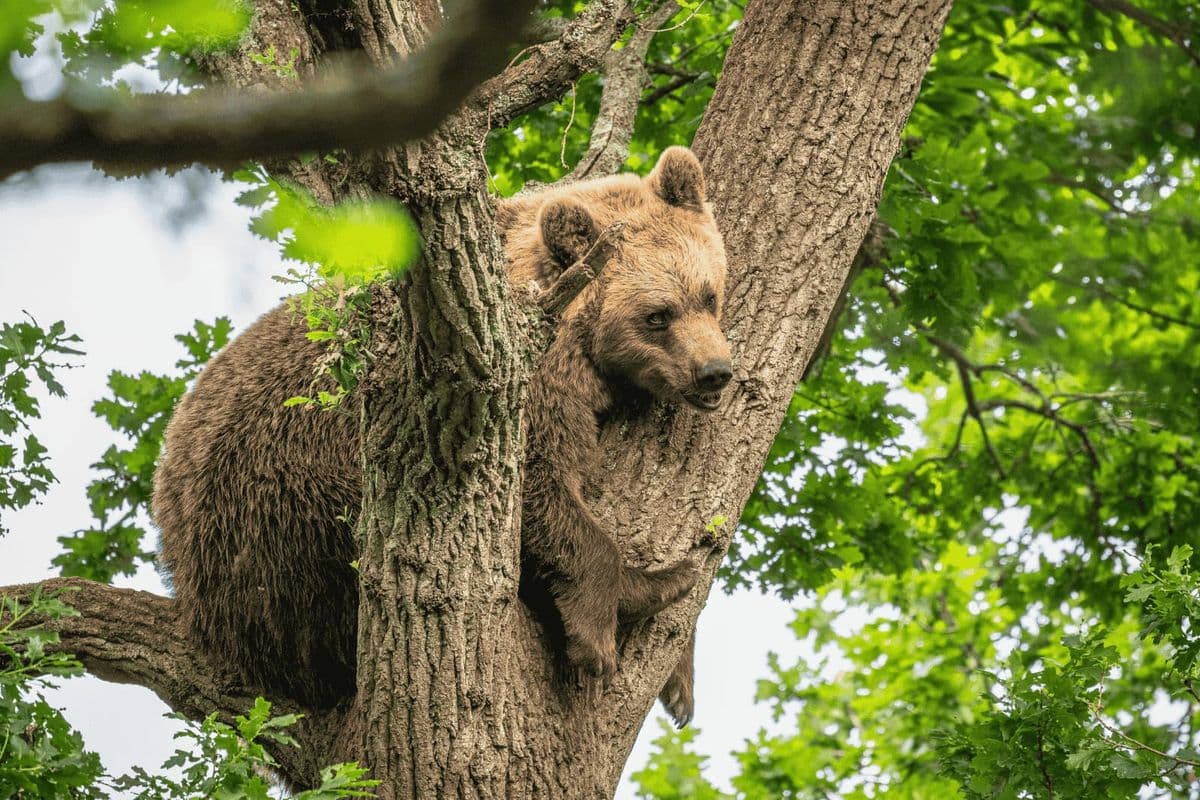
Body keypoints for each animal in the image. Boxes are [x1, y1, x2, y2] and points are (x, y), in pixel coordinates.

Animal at [153, 146, 731, 727]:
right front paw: (601, 636)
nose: (715, 373)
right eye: (657, 316)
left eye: (709, 296)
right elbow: (541, 488)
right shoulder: (522, 386)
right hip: (284, 501)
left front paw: (680, 677)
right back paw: (669, 578)